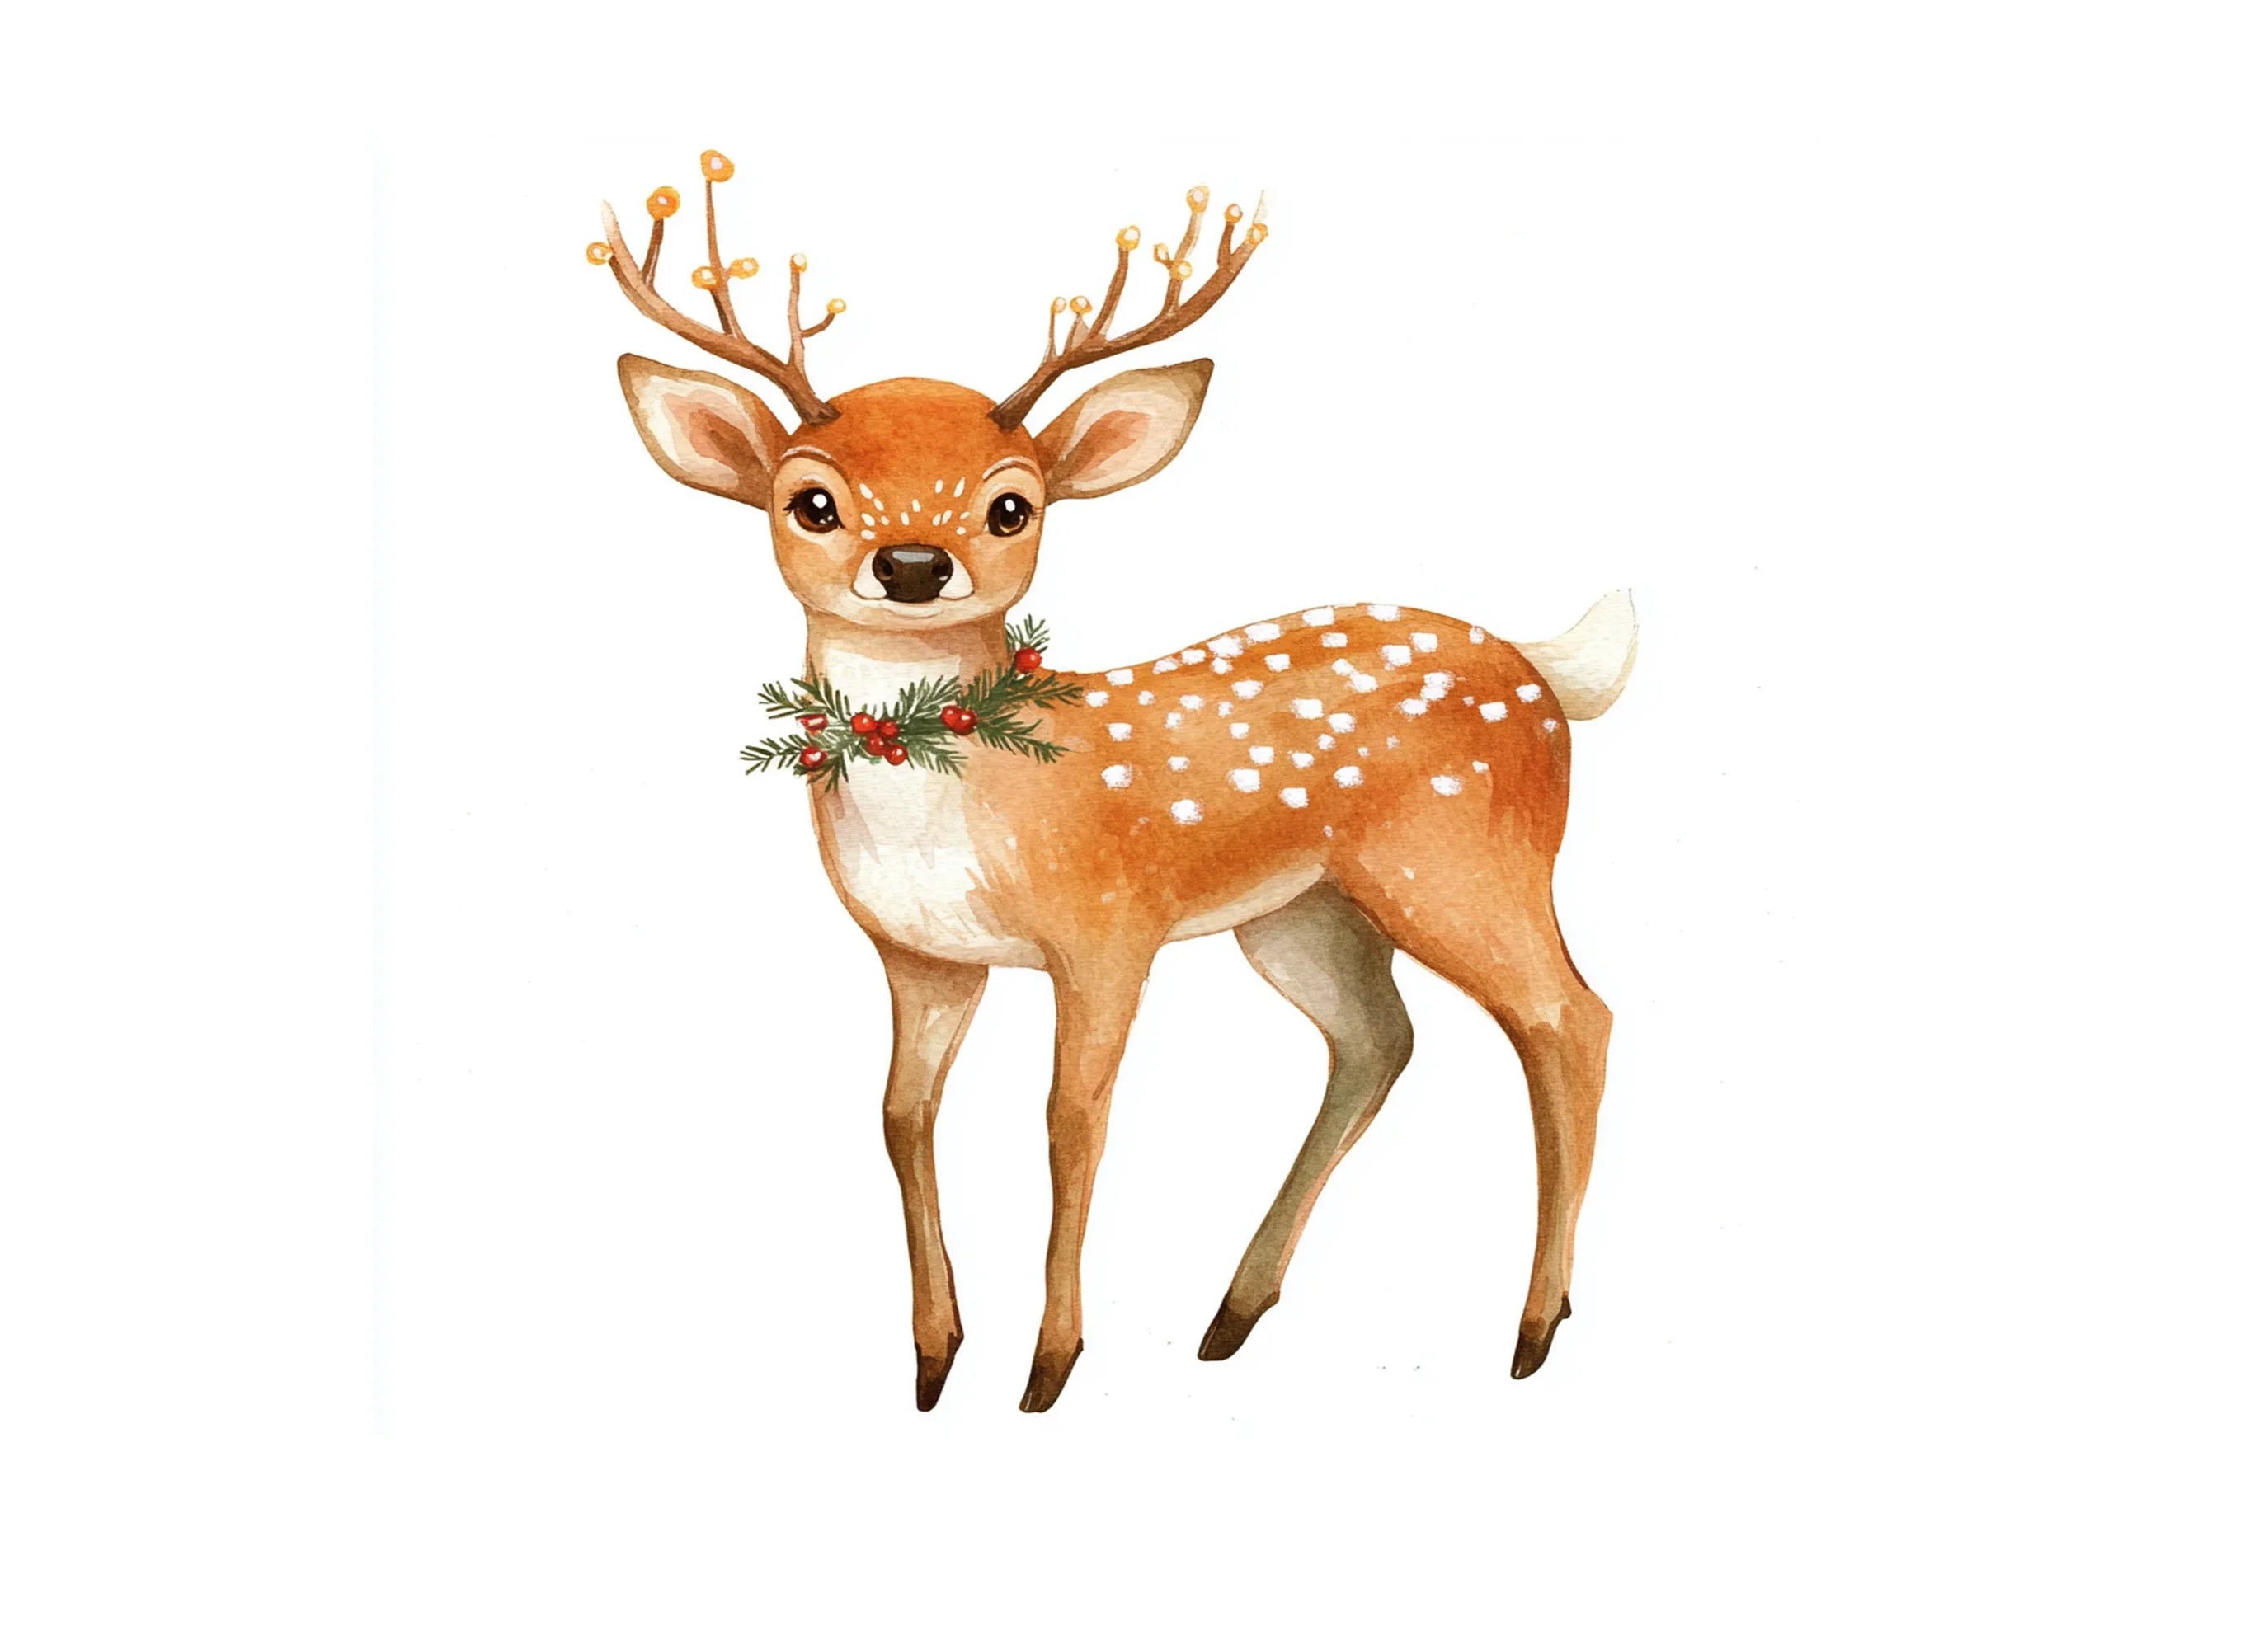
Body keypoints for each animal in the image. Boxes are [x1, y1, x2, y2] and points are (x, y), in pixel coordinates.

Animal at [589, 153, 1637, 1412]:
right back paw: (1234, 1311)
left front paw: (1048, 1364)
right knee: (1379, 1040)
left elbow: (1071, 1120)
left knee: (1571, 1017)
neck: (966, 797)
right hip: (1304, 913)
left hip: (1459, 862)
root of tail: (1541, 670)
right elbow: (901, 1118)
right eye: (812, 501)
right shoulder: (918, 954)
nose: (911, 564)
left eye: (1011, 504)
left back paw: (1531, 1327)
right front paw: (933, 1357)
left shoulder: (1107, 931)